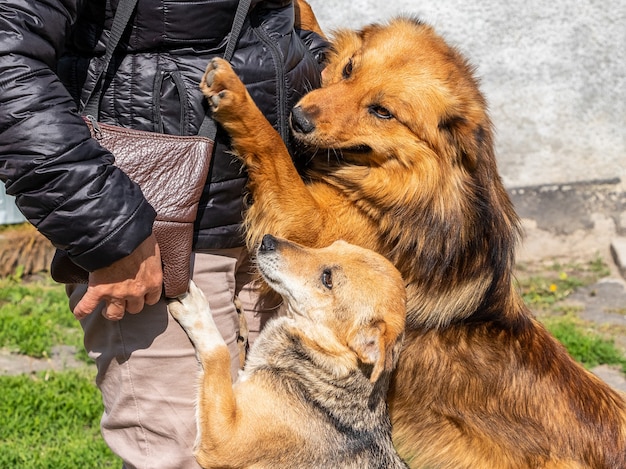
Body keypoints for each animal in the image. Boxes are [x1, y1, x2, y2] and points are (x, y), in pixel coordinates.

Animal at [200, 15, 624, 468]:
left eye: (382, 111)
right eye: (349, 69)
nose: (298, 118)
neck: (420, 184)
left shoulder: (308, 228)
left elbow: (272, 148)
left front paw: (236, 97)